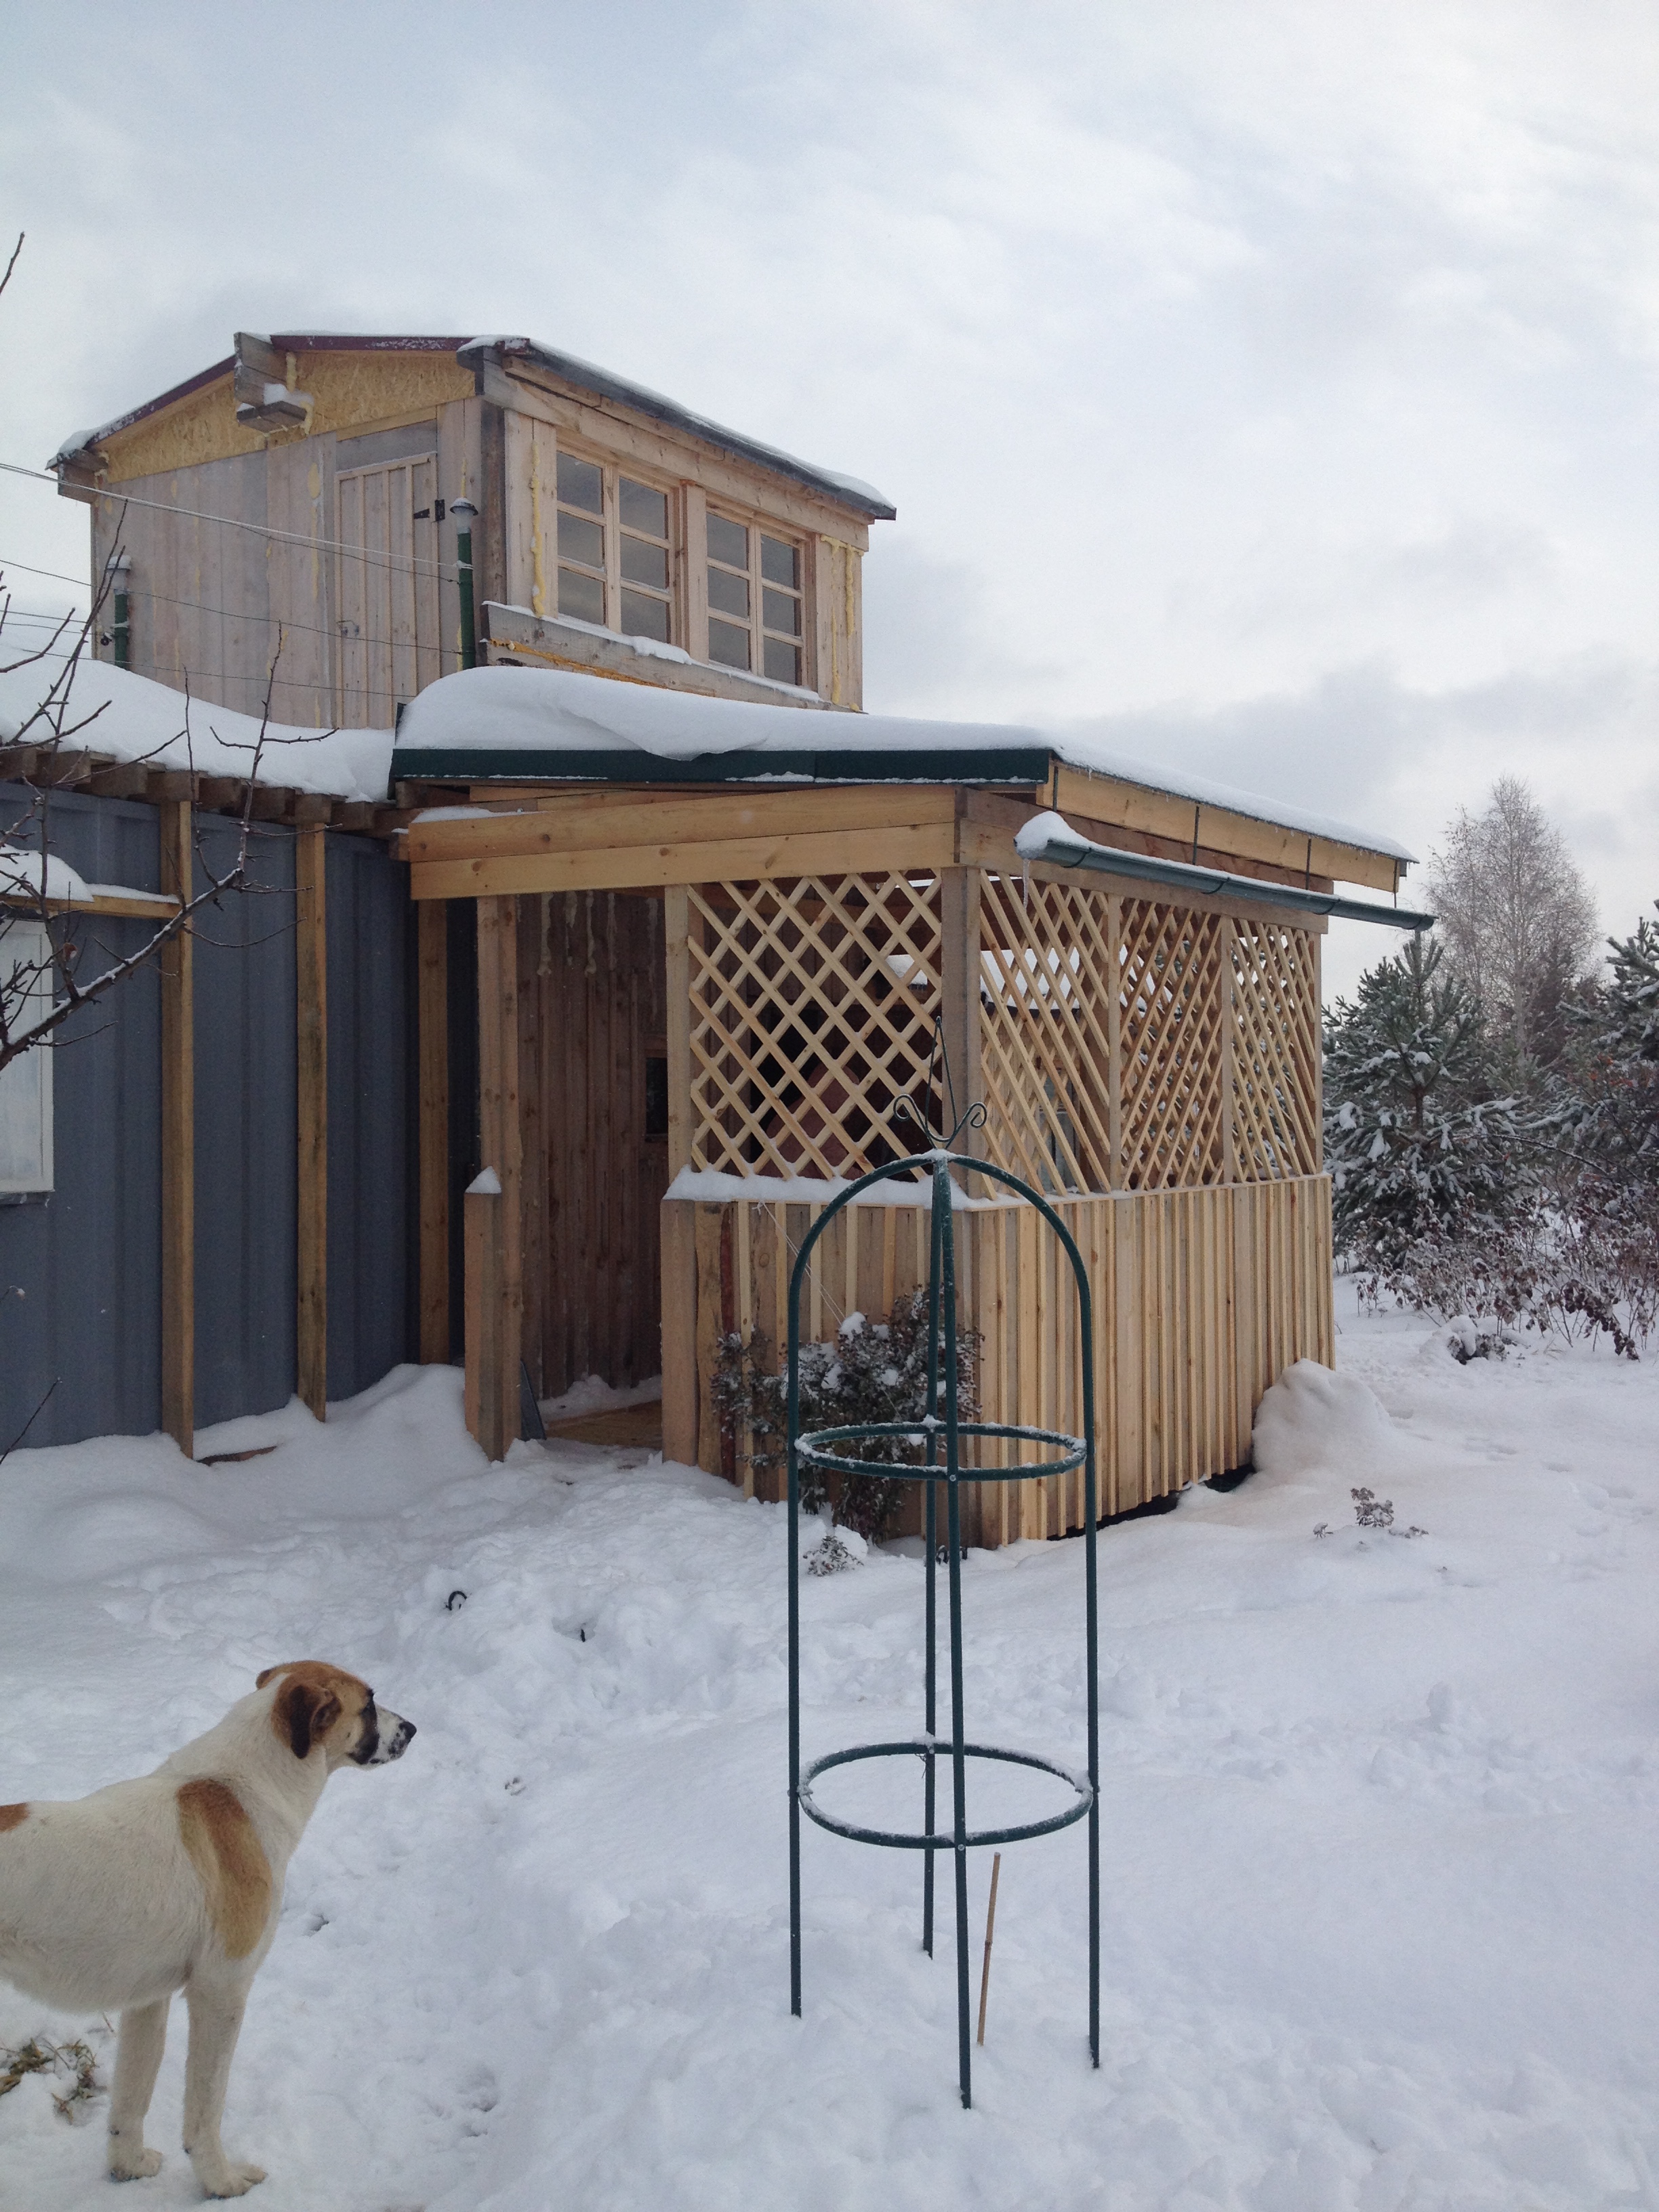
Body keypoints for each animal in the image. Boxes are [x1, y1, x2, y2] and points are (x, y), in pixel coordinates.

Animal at [0, 1663, 413, 2194]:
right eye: (369, 1703)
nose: (412, 1729)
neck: (241, 1786)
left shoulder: (147, 2002)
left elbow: (132, 2096)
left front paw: (128, 2167)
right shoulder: (222, 1990)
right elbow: (206, 2105)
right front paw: (221, 2181)